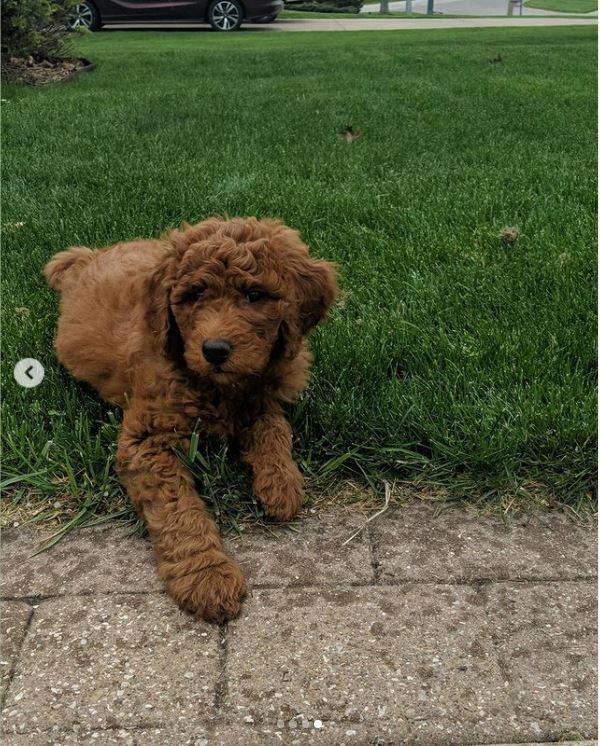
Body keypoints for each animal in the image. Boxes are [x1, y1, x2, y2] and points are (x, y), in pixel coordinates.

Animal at [45, 217, 338, 620]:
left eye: (255, 295)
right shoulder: (147, 440)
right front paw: (206, 576)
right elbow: (177, 508)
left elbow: (274, 429)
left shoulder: (264, 399)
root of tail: (88, 257)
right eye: (195, 294)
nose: (214, 350)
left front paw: (281, 483)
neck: (219, 387)